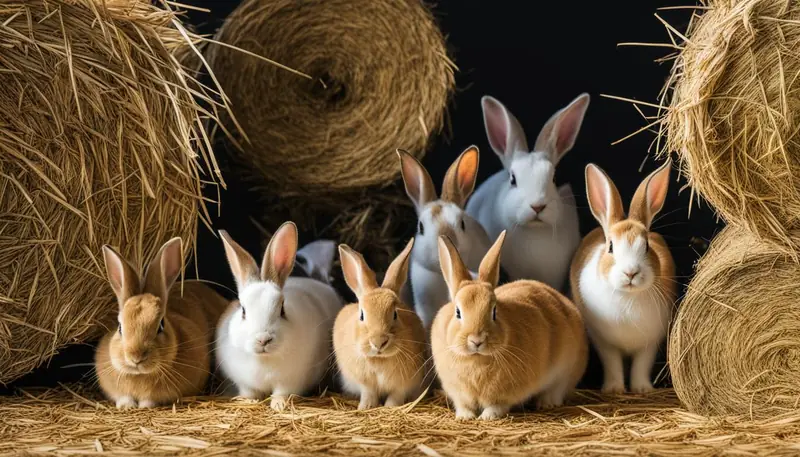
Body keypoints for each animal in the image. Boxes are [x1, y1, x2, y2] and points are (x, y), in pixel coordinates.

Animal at [95, 237, 229, 409]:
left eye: (161, 326)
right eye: (119, 327)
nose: (136, 357)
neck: (139, 375)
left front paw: (144, 405)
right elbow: (123, 397)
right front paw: (127, 406)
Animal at [215, 222, 342, 411]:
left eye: (282, 310)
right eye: (243, 310)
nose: (263, 339)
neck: (264, 360)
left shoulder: (290, 382)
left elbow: (282, 392)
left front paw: (278, 405)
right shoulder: (244, 383)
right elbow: (248, 392)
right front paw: (246, 401)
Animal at [333, 238, 429, 409]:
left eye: (395, 314)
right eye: (362, 315)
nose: (378, 342)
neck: (379, 359)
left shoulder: (404, 384)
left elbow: (396, 396)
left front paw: (390, 407)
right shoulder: (365, 383)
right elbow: (368, 393)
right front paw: (365, 407)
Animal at [431, 231, 588, 420]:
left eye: (494, 311)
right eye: (458, 312)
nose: (477, 340)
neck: (476, 359)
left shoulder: (506, 395)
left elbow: (497, 406)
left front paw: (486, 417)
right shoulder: (459, 393)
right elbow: (464, 405)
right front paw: (465, 417)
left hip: (566, 370)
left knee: (557, 389)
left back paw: (546, 403)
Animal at [570, 160, 676, 394]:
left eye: (647, 247)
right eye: (610, 246)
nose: (631, 272)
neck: (628, 297)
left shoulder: (650, 342)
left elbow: (641, 365)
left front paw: (642, 389)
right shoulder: (603, 341)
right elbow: (612, 363)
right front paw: (614, 389)